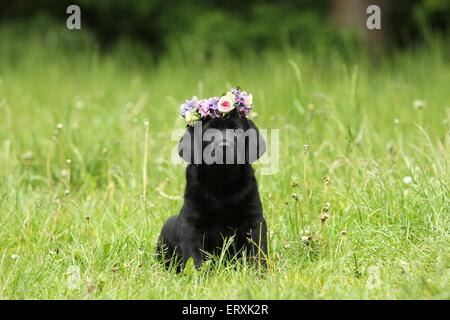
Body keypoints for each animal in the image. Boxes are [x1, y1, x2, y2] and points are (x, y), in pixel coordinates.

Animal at [156, 115, 268, 270]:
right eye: (209, 132)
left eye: (236, 130)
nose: (224, 146)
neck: (222, 183)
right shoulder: (191, 223)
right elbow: (193, 254)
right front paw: (198, 273)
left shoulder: (254, 219)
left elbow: (258, 249)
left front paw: (259, 271)